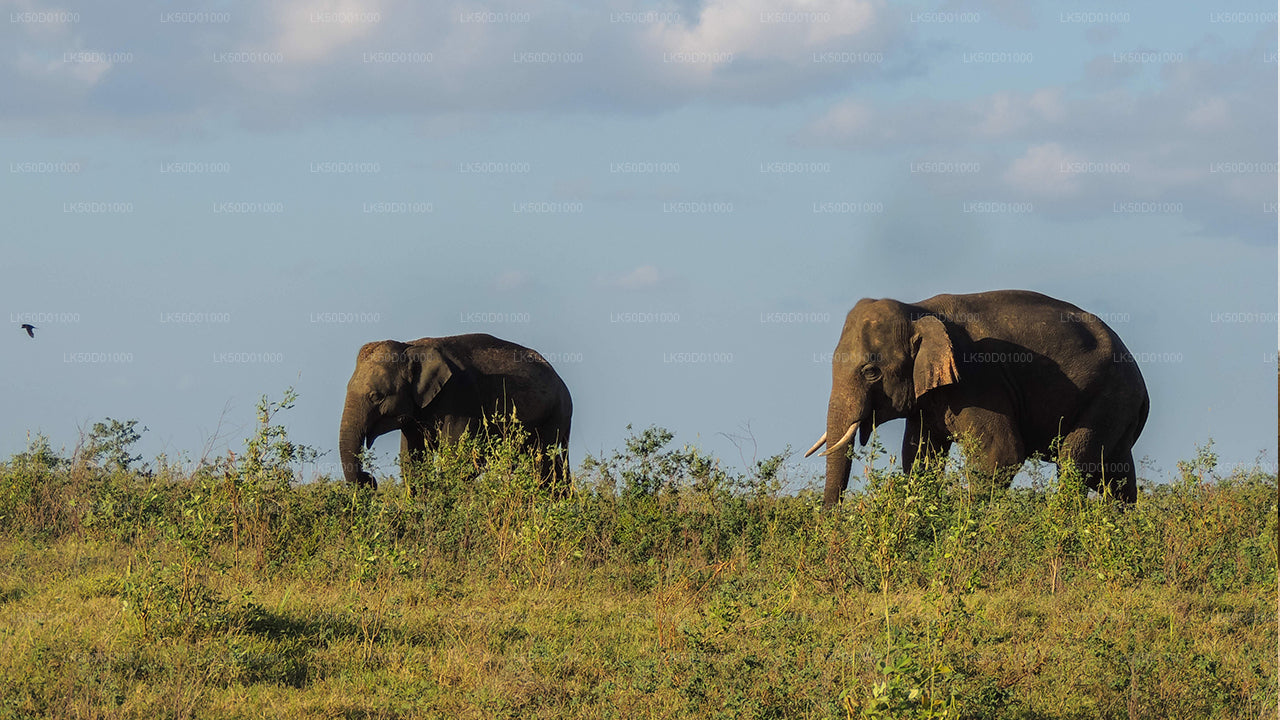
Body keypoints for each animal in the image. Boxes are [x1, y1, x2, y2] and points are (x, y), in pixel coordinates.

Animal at [339, 333, 573, 493]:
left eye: (376, 396)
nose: (369, 479)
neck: (412, 346)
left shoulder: (461, 399)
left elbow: (459, 460)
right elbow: (412, 459)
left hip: (553, 416)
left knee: (542, 463)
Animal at [805, 290, 1149, 506]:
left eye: (871, 372)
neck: (919, 309)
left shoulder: (978, 380)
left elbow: (1002, 453)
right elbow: (919, 459)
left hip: (1110, 399)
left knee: (1075, 465)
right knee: (1115, 476)